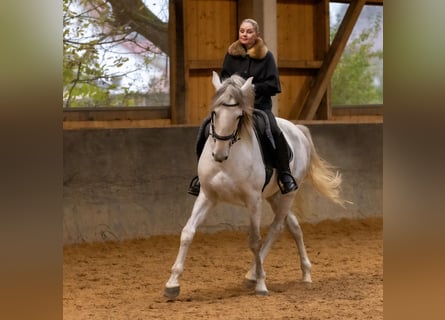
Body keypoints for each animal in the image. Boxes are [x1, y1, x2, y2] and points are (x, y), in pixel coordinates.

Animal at [163, 71, 344, 298]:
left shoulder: (253, 200)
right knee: (293, 226)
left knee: (276, 228)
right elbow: (188, 232)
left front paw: (261, 284)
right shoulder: (207, 195)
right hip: (274, 195)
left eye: (239, 116)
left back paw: (254, 276)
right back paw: (305, 274)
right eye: (214, 113)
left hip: (287, 194)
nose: (219, 154)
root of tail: (297, 129)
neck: (229, 158)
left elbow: (255, 240)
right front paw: (172, 284)